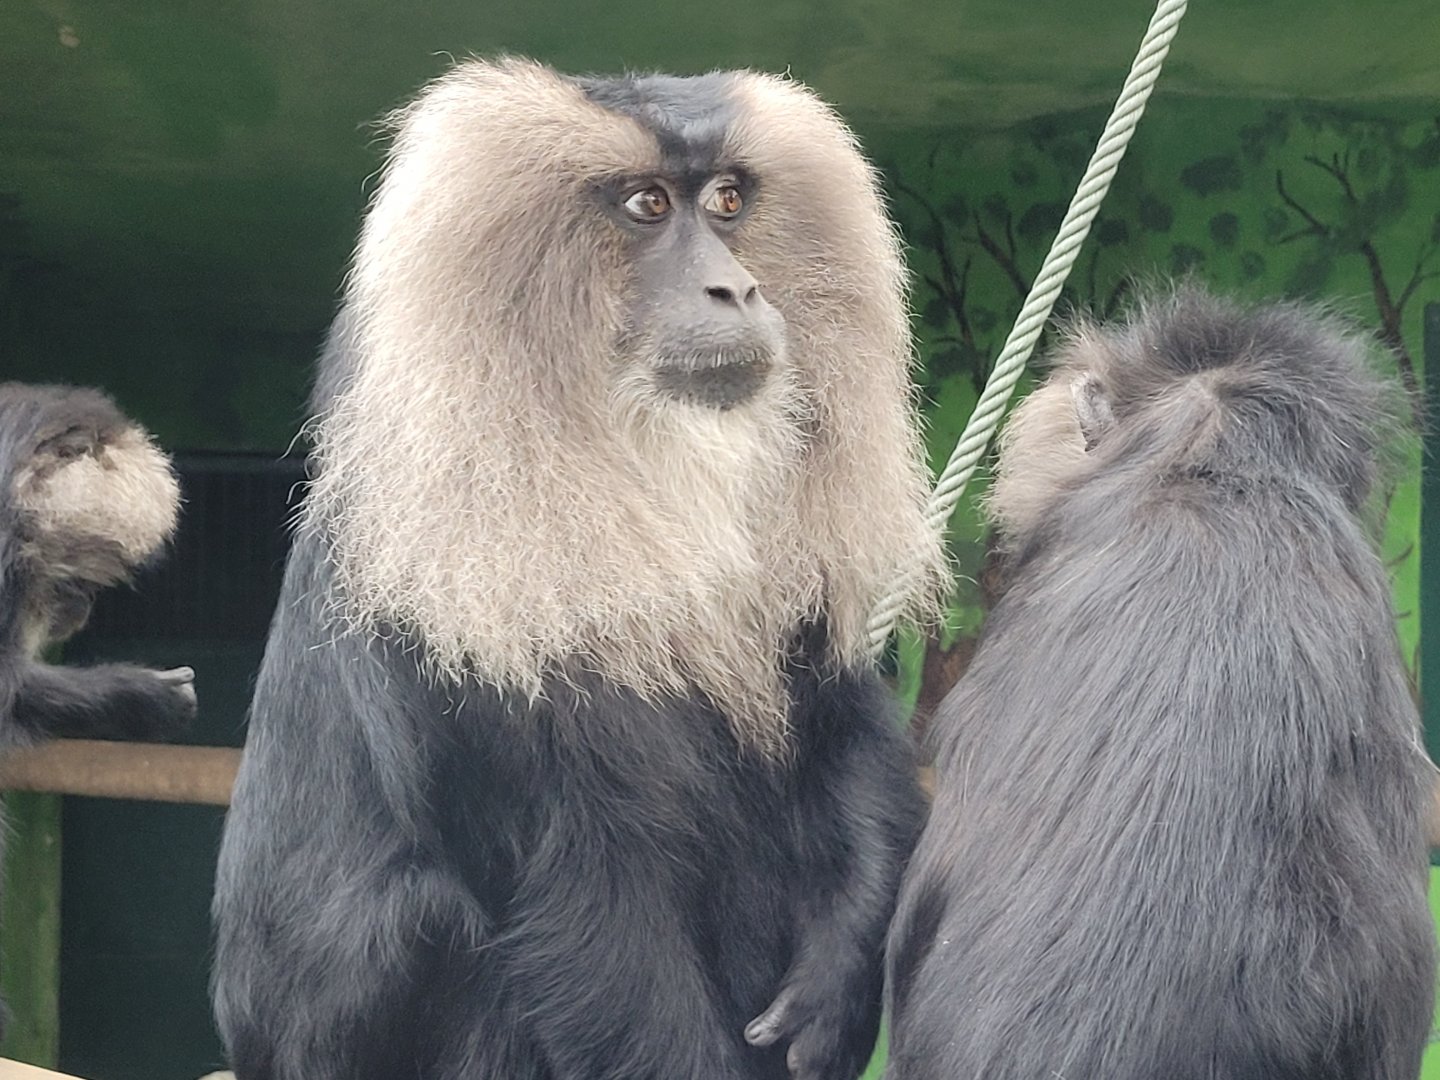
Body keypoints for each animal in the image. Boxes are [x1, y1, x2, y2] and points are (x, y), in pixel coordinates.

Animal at [210, 58, 948, 1080]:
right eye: (646, 205)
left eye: (727, 201)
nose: (736, 289)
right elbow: (587, 913)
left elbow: (846, 729)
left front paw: (835, 987)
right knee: (435, 916)